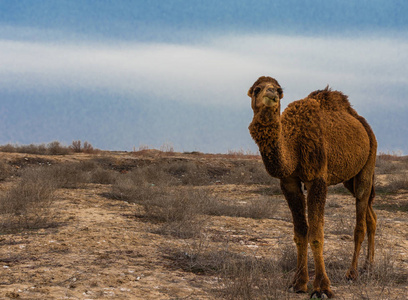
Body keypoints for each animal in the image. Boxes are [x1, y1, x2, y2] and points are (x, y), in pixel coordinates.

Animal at [247, 77, 378, 298]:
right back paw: (368, 267)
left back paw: (352, 273)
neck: (293, 144)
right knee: (371, 215)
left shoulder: (317, 178)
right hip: (349, 178)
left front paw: (322, 287)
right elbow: (300, 233)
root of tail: (362, 122)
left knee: (361, 215)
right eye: (257, 89)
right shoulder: (288, 182)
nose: (271, 93)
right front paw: (299, 283)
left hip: (368, 163)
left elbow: (316, 234)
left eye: (279, 90)